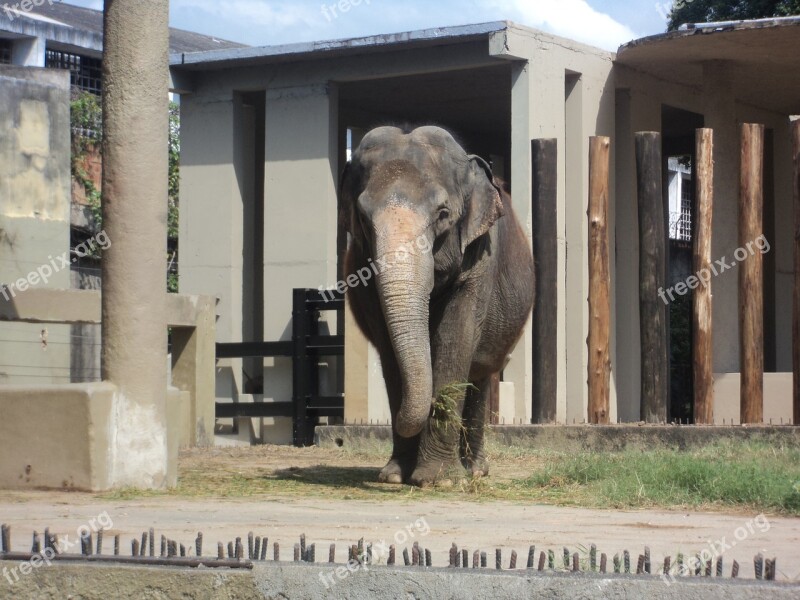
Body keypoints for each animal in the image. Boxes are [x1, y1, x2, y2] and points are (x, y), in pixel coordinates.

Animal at [340, 124, 536, 486]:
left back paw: (475, 469)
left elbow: (454, 339)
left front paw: (439, 480)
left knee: (479, 376)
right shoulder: (363, 267)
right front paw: (394, 476)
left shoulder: (480, 260)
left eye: (443, 214)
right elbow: (390, 353)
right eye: (362, 216)